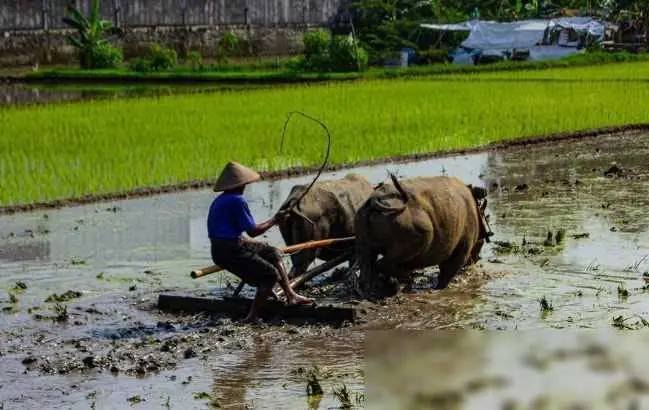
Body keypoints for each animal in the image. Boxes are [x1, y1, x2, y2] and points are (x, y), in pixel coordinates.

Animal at [354, 175, 486, 296]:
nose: (476, 259)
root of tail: (374, 200)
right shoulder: (463, 246)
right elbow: (448, 270)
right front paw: (439, 289)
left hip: (361, 216)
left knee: (366, 258)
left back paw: (373, 290)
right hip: (405, 222)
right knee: (389, 259)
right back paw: (406, 281)